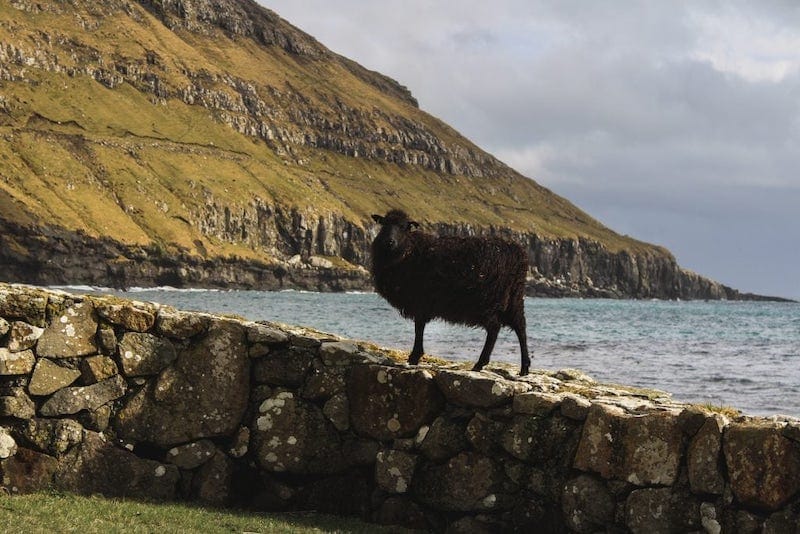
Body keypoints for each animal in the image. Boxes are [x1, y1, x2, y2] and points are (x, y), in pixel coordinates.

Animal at [370, 209, 532, 376]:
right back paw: (524, 367)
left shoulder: (420, 300)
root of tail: (518, 252)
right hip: (514, 297)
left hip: (489, 300)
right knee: (520, 327)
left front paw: (414, 357)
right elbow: (419, 327)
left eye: (404, 227)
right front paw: (415, 356)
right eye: (384, 224)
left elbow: (419, 328)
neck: (408, 251)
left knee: (495, 328)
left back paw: (480, 364)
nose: (389, 242)